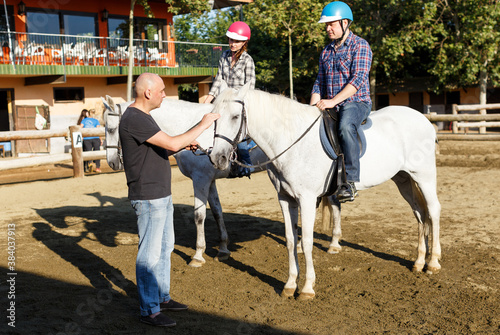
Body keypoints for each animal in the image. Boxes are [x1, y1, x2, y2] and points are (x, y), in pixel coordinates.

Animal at [101, 96, 270, 268]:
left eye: (112, 129)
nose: (112, 162)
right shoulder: (209, 181)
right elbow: (217, 212)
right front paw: (223, 250)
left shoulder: (200, 180)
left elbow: (199, 215)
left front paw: (198, 255)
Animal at [209, 82, 444, 302]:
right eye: (214, 117)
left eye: (235, 116)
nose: (217, 158)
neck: (292, 141)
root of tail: (424, 120)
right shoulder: (285, 199)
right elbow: (291, 240)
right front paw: (290, 285)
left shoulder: (306, 199)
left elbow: (307, 242)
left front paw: (307, 288)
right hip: (403, 178)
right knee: (420, 214)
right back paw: (419, 262)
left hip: (424, 176)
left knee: (433, 210)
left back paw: (432, 263)